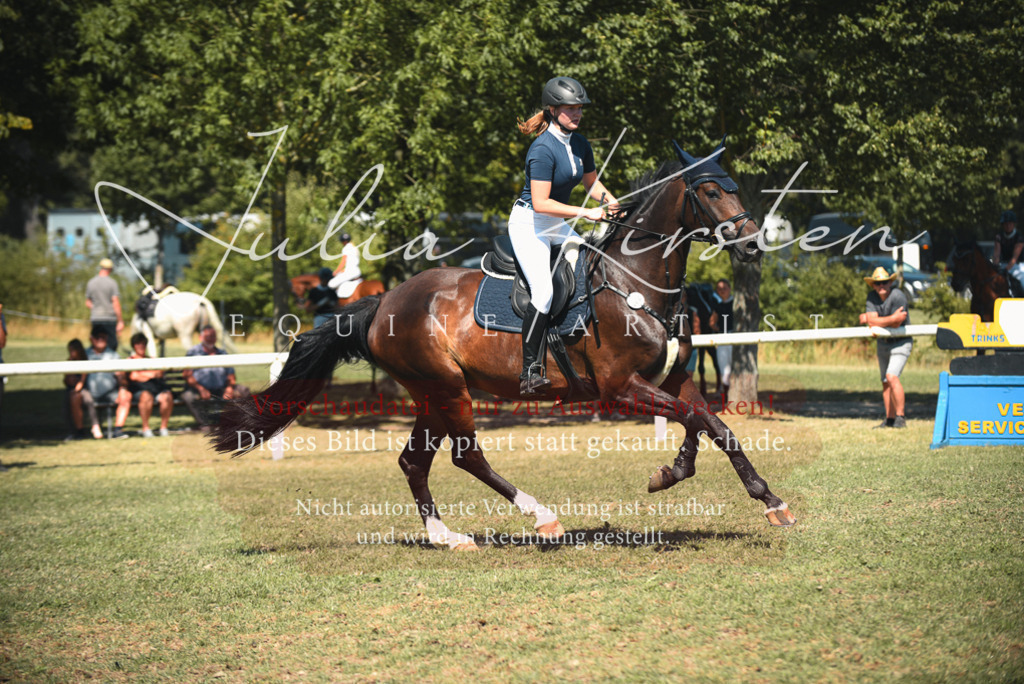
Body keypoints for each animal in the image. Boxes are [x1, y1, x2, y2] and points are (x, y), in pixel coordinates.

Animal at [211, 145, 797, 550]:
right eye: (712, 190)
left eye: (734, 186)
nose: (751, 244)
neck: (635, 282)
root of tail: (382, 303)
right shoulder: (619, 387)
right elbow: (700, 421)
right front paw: (673, 475)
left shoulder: (673, 378)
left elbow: (712, 425)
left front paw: (765, 500)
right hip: (447, 388)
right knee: (466, 455)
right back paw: (540, 516)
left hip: (431, 393)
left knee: (414, 462)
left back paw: (446, 537)